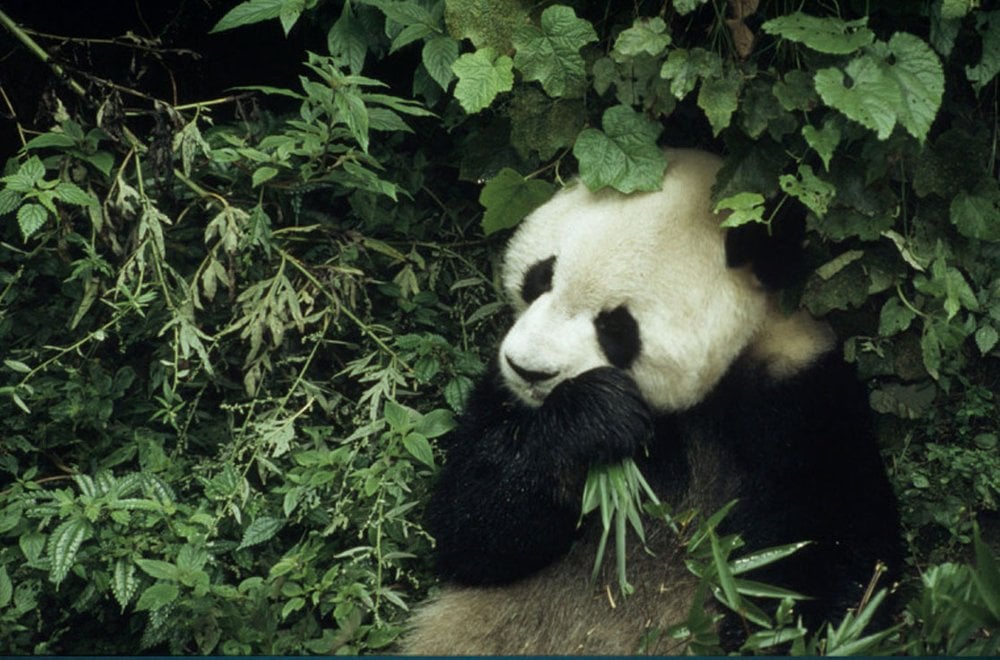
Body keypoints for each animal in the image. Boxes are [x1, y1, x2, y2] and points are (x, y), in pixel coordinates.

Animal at [403, 148, 901, 655]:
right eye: (540, 278)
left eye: (616, 326)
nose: (528, 370)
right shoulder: (504, 396)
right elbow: (473, 527)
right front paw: (596, 417)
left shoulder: (801, 394)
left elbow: (836, 553)